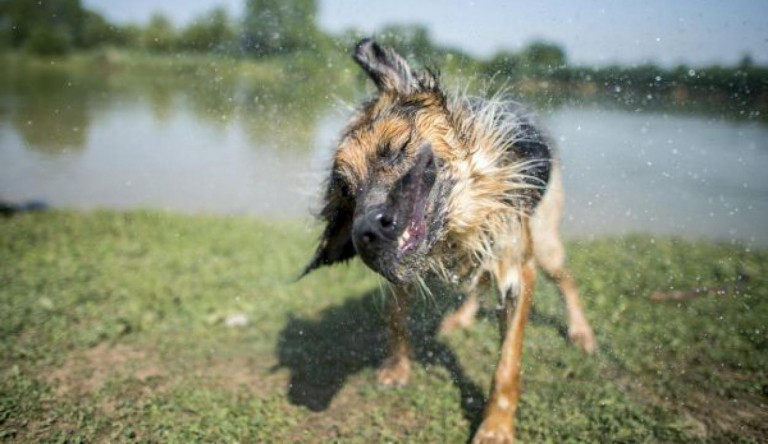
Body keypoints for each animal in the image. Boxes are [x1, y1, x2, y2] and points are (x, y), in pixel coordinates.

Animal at [304, 40, 596, 442]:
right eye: (347, 189)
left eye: (395, 150)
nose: (366, 235)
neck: (456, 225)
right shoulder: (407, 270)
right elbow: (396, 319)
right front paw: (397, 368)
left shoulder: (517, 268)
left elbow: (507, 363)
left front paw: (496, 426)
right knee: (480, 282)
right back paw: (460, 318)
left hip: (546, 244)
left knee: (566, 281)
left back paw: (581, 332)